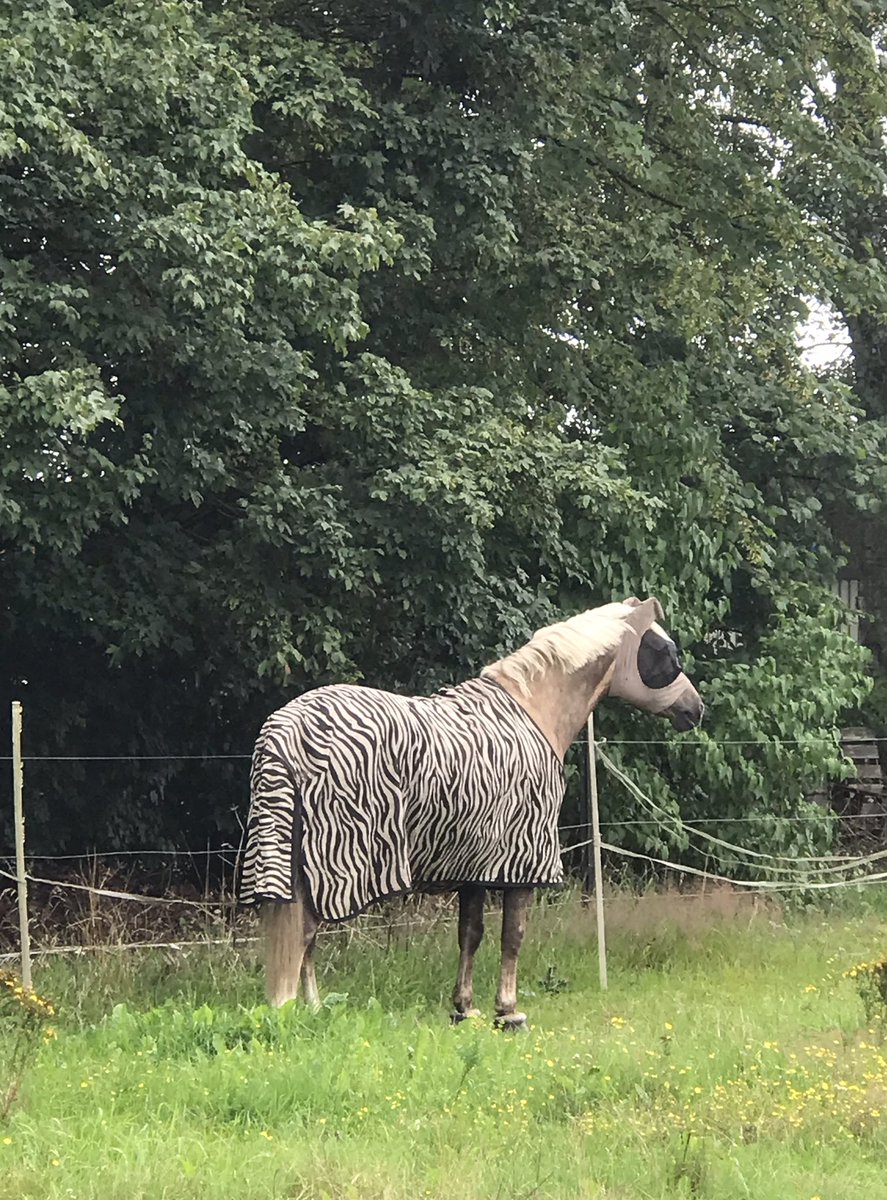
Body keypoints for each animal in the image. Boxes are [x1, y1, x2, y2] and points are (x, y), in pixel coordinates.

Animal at [239, 597, 703, 1027]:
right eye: (665, 652)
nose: (695, 709)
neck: (534, 710)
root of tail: (283, 730)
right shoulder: (521, 865)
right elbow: (512, 936)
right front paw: (508, 1011)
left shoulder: (474, 867)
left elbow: (470, 934)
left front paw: (464, 1008)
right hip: (329, 868)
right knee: (304, 935)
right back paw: (305, 1012)